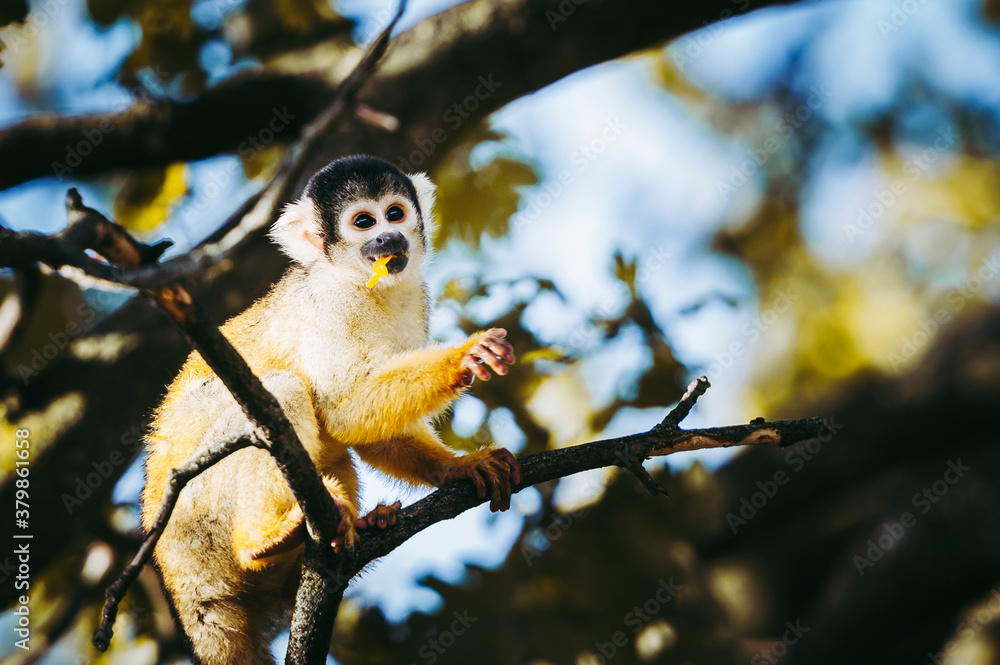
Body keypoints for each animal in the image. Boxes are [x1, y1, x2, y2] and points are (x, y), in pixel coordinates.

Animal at [141, 155, 522, 665]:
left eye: (395, 213)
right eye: (364, 223)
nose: (388, 239)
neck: (366, 286)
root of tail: (178, 579)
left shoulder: (417, 298)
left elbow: (368, 432)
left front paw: (462, 466)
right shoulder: (329, 305)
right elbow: (342, 407)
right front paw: (463, 358)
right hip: (196, 516)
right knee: (279, 394)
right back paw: (260, 540)